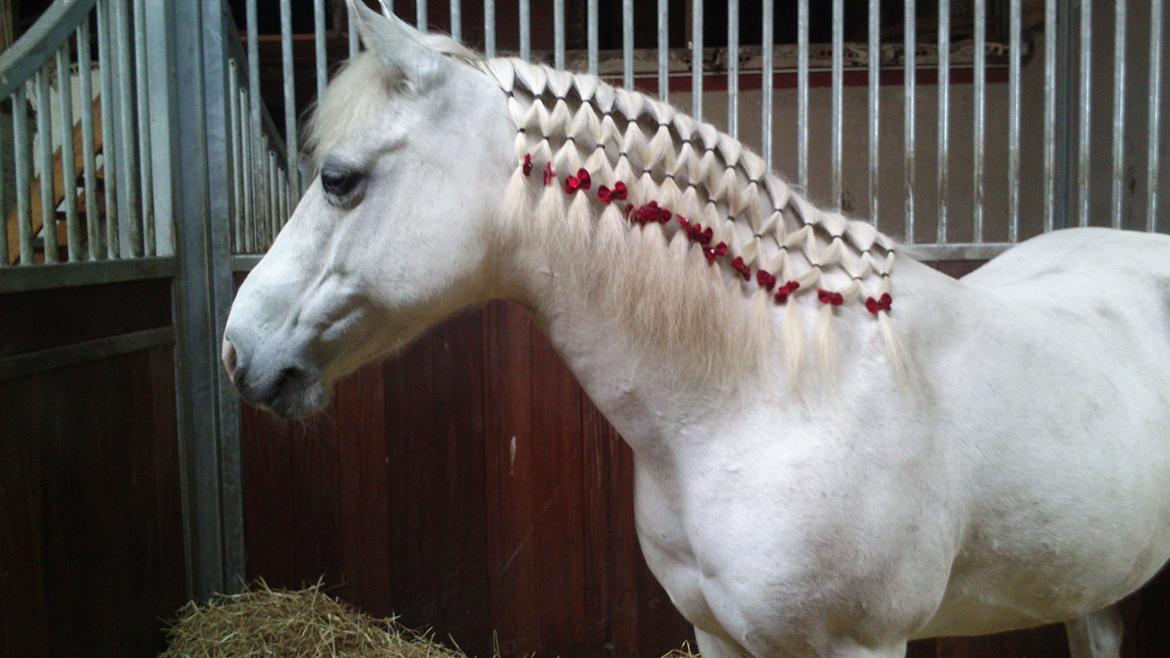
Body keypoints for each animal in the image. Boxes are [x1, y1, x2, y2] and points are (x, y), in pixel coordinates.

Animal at [221, 3, 1170, 656]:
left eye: (340, 178)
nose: (238, 351)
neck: (768, 396)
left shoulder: (862, 643)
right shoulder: (719, 634)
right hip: (1091, 584)